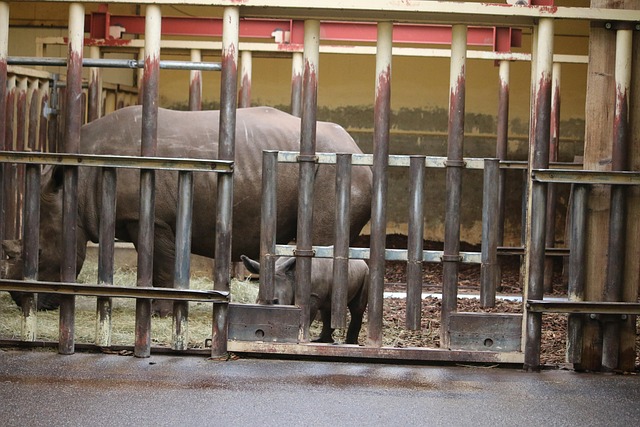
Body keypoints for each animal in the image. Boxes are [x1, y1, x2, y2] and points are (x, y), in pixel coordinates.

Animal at [3, 106, 372, 315]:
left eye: (39, 251)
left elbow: (161, 266)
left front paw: (160, 314)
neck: (74, 188)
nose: (19, 302)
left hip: (338, 173)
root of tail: (357, 147)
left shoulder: (151, 217)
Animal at [240, 255, 369, 344]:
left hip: (365, 273)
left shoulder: (312, 296)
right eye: (257, 301)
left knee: (356, 309)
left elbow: (307, 318)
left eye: (276, 301)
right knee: (328, 308)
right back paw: (322, 341)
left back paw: (351, 343)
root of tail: (362, 261)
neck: (290, 276)